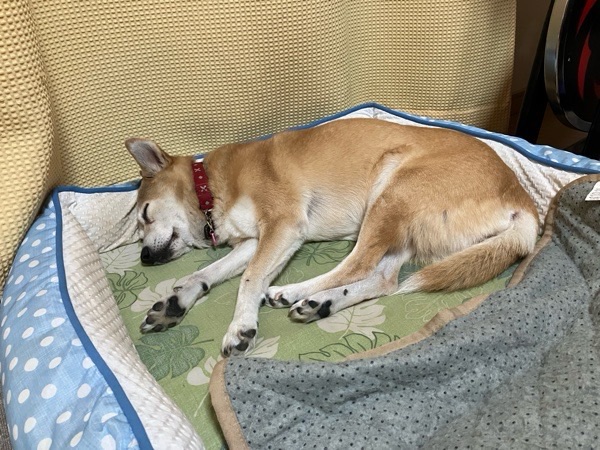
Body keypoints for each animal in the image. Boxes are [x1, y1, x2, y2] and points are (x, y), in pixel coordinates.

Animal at [125, 118, 538, 357]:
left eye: (143, 215)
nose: (144, 258)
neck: (208, 186)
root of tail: (520, 197)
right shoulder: (253, 242)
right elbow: (203, 275)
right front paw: (174, 303)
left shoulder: (283, 226)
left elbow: (249, 280)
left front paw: (241, 326)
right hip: (403, 229)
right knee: (383, 279)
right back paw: (319, 304)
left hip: (391, 188)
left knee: (359, 262)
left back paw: (293, 292)